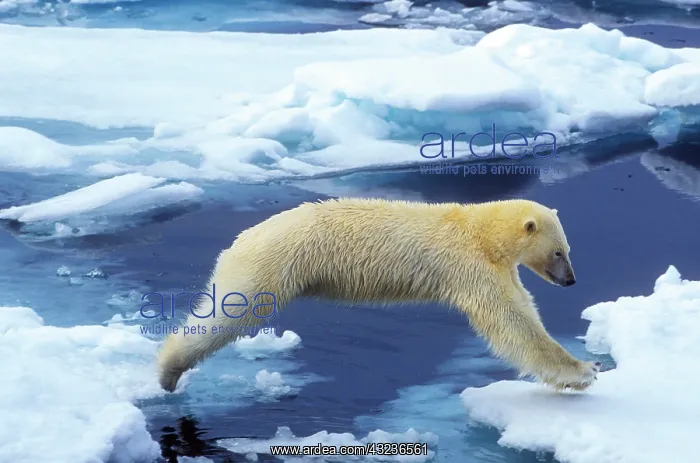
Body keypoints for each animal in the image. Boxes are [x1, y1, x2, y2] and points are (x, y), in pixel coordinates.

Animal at [157, 197, 600, 392]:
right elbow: (513, 322)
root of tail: (241, 239)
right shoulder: (470, 266)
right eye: (559, 252)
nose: (571, 281)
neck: (479, 229)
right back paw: (169, 369)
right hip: (271, 266)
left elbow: (520, 309)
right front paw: (584, 370)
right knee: (231, 311)